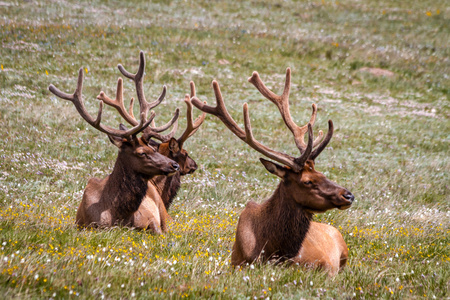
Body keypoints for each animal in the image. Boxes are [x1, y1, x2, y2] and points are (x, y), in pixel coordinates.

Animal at [48, 52, 185, 232]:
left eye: (154, 149)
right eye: (142, 153)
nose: (174, 165)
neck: (118, 215)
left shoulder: (151, 220)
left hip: (163, 211)